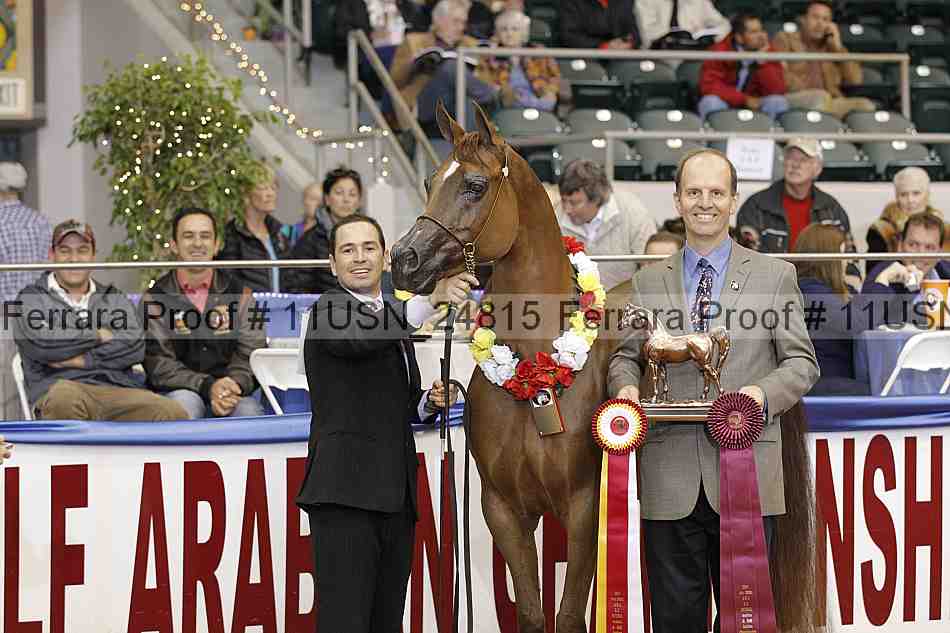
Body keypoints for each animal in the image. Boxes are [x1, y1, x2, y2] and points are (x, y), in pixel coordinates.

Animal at [390, 101, 617, 633]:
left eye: (474, 185)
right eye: (429, 180)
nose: (404, 259)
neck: (536, 373)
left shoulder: (584, 507)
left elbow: (569, 616)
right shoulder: (503, 509)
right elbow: (532, 613)